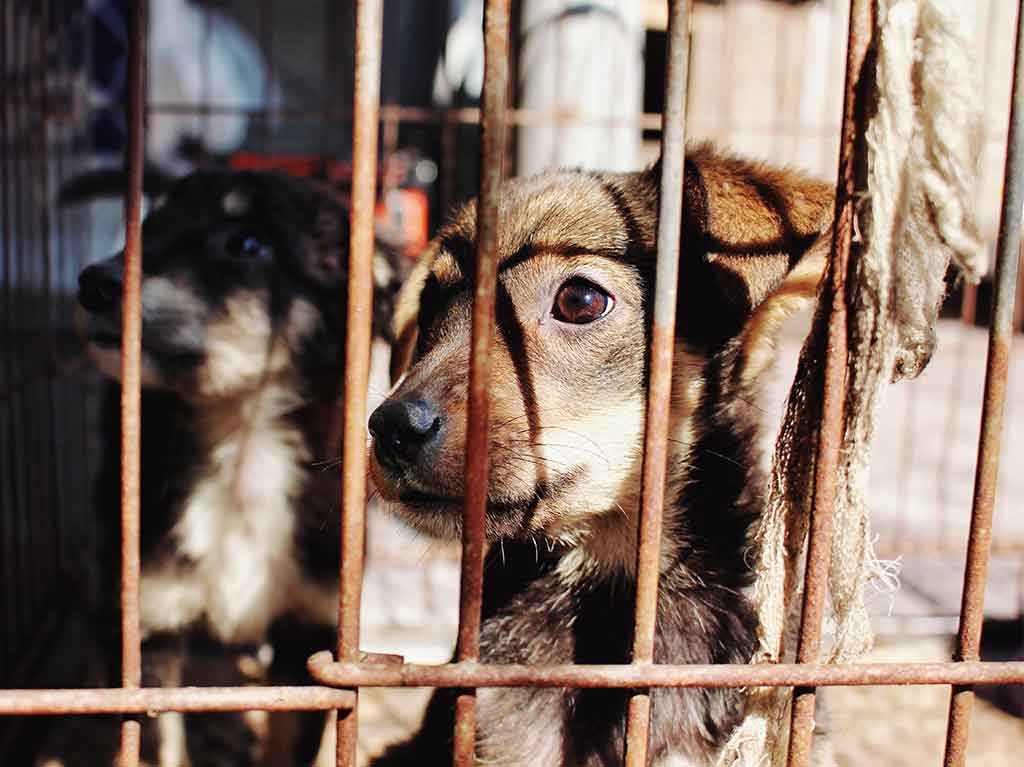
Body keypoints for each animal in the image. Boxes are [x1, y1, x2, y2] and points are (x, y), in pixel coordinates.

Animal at [75, 168, 401, 765]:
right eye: (150, 222)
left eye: (246, 244)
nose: (92, 284)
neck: (243, 445)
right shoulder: (150, 623)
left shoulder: (310, 632)